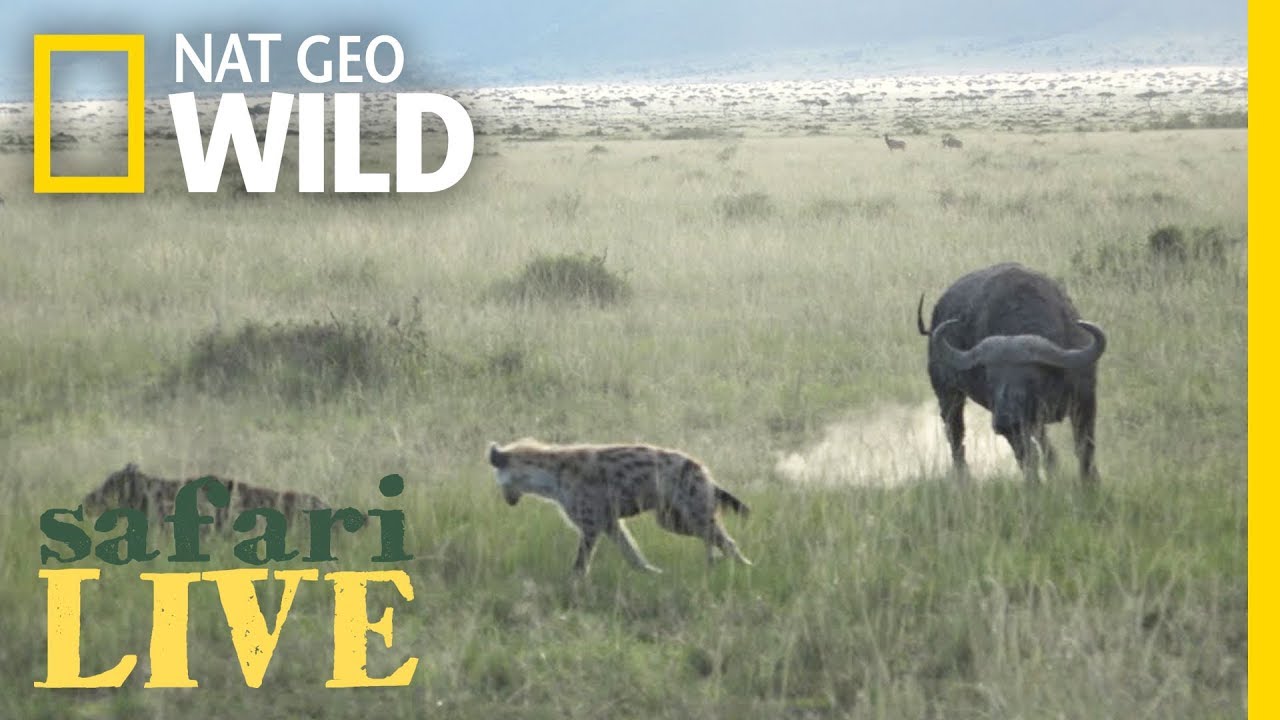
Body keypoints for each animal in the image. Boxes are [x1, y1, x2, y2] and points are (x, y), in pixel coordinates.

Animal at [917, 263, 1107, 483]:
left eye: (1031, 379)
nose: (1005, 420)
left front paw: (1091, 482)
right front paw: (1034, 484)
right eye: (989, 380)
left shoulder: (1085, 400)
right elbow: (1026, 456)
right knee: (955, 435)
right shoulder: (1013, 425)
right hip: (947, 393)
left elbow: (1085, 446)